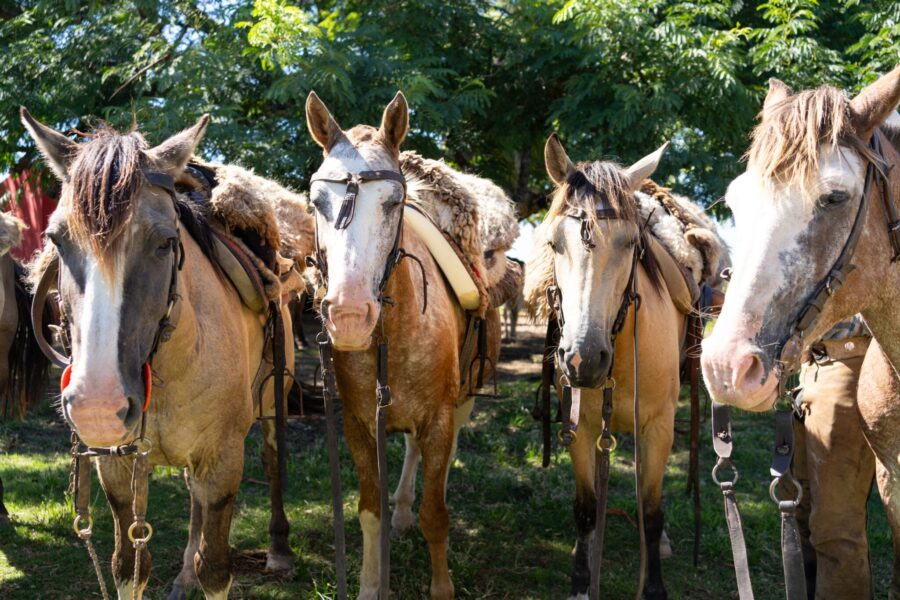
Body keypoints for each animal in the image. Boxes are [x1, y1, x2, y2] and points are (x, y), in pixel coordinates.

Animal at [21, 109, 298, 600]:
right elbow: (129, 566)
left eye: (167, 242)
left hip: (272, 403)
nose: (98, 407)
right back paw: (184, 574)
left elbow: (216, 570)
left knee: (271, 459)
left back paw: (279, 550)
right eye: (56, 239)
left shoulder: (223, 461)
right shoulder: (117, 465)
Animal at [304, 91, 510, 599]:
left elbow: (436, 514)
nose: (349, 315)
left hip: (462, 403)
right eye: (316, 201)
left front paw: (442, 587)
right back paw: (400, 512)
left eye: (393, 201)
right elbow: (369, 512)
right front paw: (369, 584)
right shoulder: (359, 427)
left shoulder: (439, 419)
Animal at [525, 133, 716, 600]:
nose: (582, 358)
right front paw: (582, 580)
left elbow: (651, 510)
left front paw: (654, 587)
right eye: (555, 243)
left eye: (631, 243)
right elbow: (586, 507)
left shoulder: (657, 427)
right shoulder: (580, 427)